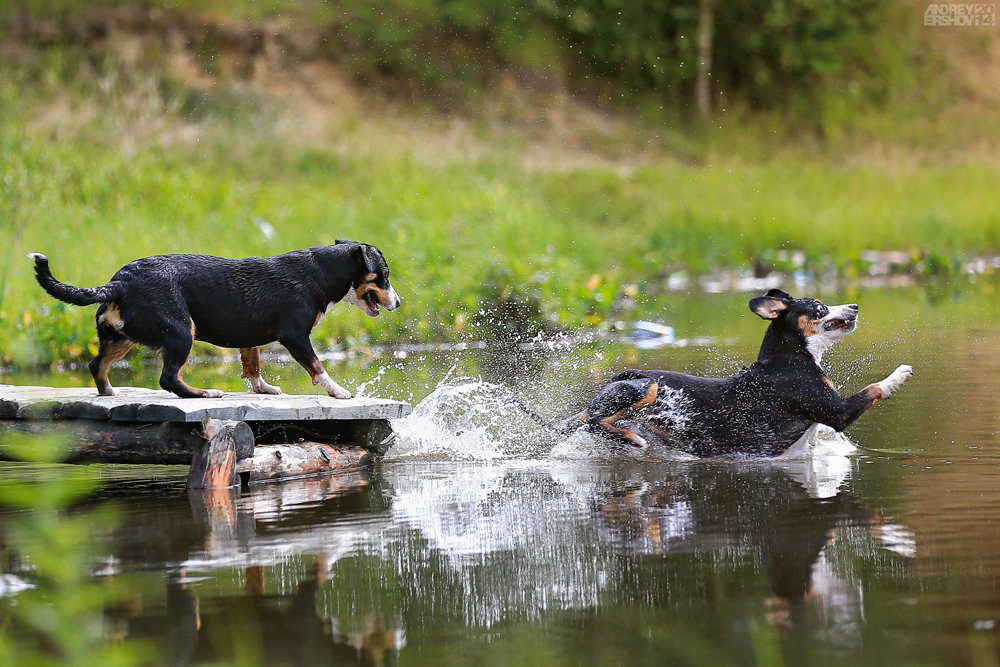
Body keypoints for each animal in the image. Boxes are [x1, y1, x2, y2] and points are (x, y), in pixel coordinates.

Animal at [26, 243, 398, 400]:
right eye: (384, 276)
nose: (397, 302)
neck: (318, 272)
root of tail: (121, 281)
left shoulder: (251, 337)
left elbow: (252, 366)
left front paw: (264, 388)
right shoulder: (295, 336)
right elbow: (318, 368)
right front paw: (340, 392)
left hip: (121, 338)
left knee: (96, 365)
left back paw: (108, 392)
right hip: (181, 333)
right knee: (168, 379)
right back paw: (204, 393)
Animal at [556, 290, 916, 456]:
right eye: (819, 307)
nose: (854, 307)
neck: (790, 358)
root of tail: (621, 375)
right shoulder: (837, 412)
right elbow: (874, 388)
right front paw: (899, 374)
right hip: (649, 386)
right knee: (595, 421)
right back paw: (632, 438)